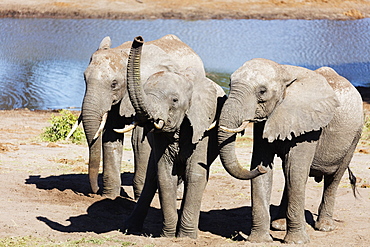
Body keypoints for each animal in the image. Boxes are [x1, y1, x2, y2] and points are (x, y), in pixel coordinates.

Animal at [80, 33, 214, 199]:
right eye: (84, 78)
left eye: (114, 84)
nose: (94, 192)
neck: (122, 53)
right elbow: (111, 135)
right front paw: (110, 197)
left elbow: (139, 140)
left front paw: (137, 196)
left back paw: (177, 195)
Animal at [121, 36, 266, 239]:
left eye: (174, 100)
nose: (138, 39)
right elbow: (165, 175)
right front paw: (168, 236)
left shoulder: (203, 126)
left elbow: (195, 174)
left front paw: (185, 237)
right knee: (153, 178)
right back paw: (129, 228)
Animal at [218, 58, 362, 244]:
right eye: (229, 84)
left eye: (262, 91)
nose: (260, 169)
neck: (284, 72)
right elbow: (263, 166)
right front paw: (258, 240)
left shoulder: (310, 125)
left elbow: (295, 170)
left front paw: (297, 242)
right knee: (289, 176)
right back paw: (278, 225)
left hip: (354, 136)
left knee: (333, 178)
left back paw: (324, 227)